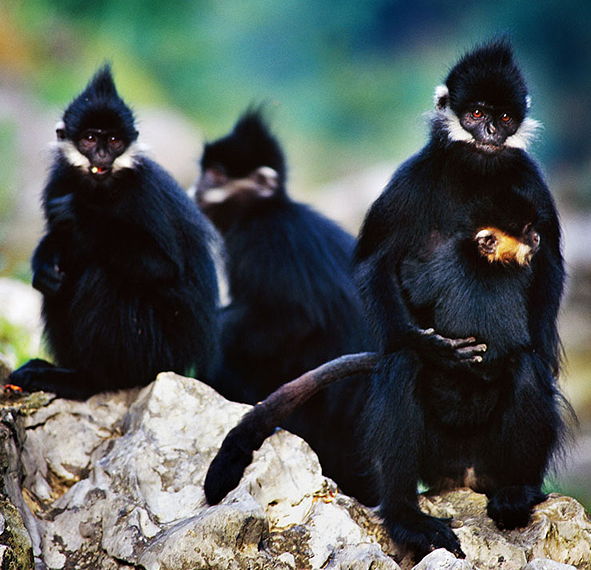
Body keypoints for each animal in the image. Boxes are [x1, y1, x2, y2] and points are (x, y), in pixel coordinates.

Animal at [7, 66, 220, 400]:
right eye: (90, 138)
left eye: (115, 140)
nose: (102, 154)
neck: (102, 189)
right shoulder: (59, 181)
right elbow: (58, 248)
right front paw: (44, 260)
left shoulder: (145, 192)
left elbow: (163, 266)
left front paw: (81, 217)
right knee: (61, 282)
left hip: (155, 353)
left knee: (102, 276)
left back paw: (87, 381)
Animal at [354, 41, 572, 560]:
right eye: (475, 113)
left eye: (505, 117)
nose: (490, 132)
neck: (477, 172)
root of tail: (465, 473)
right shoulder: (410, 181)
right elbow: (373, 264)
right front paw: (433, 346)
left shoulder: (531, 182)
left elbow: (549, 267)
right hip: (436, 454)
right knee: (401, 365)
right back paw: (408, 519)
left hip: (489, 453)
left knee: (525, 367)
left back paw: (515, 493)